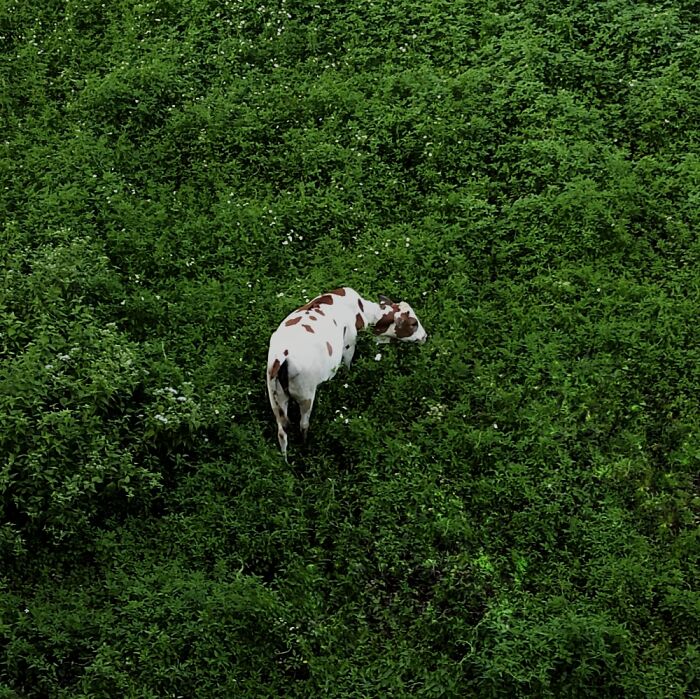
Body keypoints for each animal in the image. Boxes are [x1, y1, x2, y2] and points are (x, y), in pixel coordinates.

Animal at [266, 287, 427, 460]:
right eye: (414, 323)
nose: (425, 336)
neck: (361, 309)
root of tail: (282, 356)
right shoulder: (349, 345)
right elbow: (347, 366)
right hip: (306, 395)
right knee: (303, 424)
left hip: (276, 398)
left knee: (282, 432)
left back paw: (286, 461)